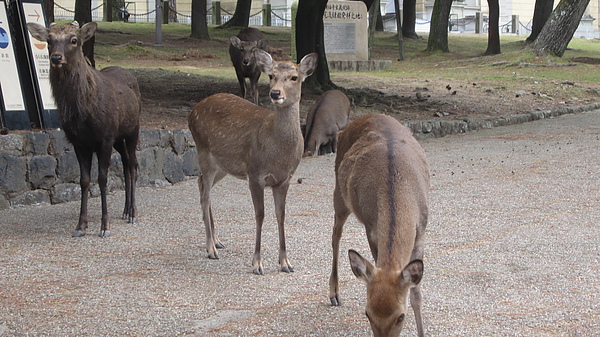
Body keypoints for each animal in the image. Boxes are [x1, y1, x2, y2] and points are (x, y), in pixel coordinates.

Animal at [28, 21, 142, 236]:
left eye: (74, 40)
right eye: (49, 40)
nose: (56, 57)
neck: (82, 113)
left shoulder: (104, 138)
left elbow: (103, 179)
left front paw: (104, 227)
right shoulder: (79, 142)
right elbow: (84, 181)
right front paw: (81, 226)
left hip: (134, 129)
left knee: (133, 164)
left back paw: (133, 212)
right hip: (118, 137)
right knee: (125, 162)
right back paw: (124, 211)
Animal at [188, 51, 318, 274]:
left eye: (294, 77)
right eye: (271, 76)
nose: (275, 93)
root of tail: (191, 112)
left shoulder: (284, 179)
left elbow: (281, 215)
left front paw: (286, 262)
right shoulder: (255, 173)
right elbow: (260, 215)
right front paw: (257, 263)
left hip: (223, 164)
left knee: (201, 184)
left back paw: (217, 240)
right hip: (203, 150)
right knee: (205, 195)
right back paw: (211, 248)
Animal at [328, 113, 432, 336]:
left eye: (401, 316)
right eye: (367, 313)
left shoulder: (421, 230)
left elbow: (416, 295)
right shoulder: (371, 228)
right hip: (339, 191)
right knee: (335, 234)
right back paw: (334, 294)